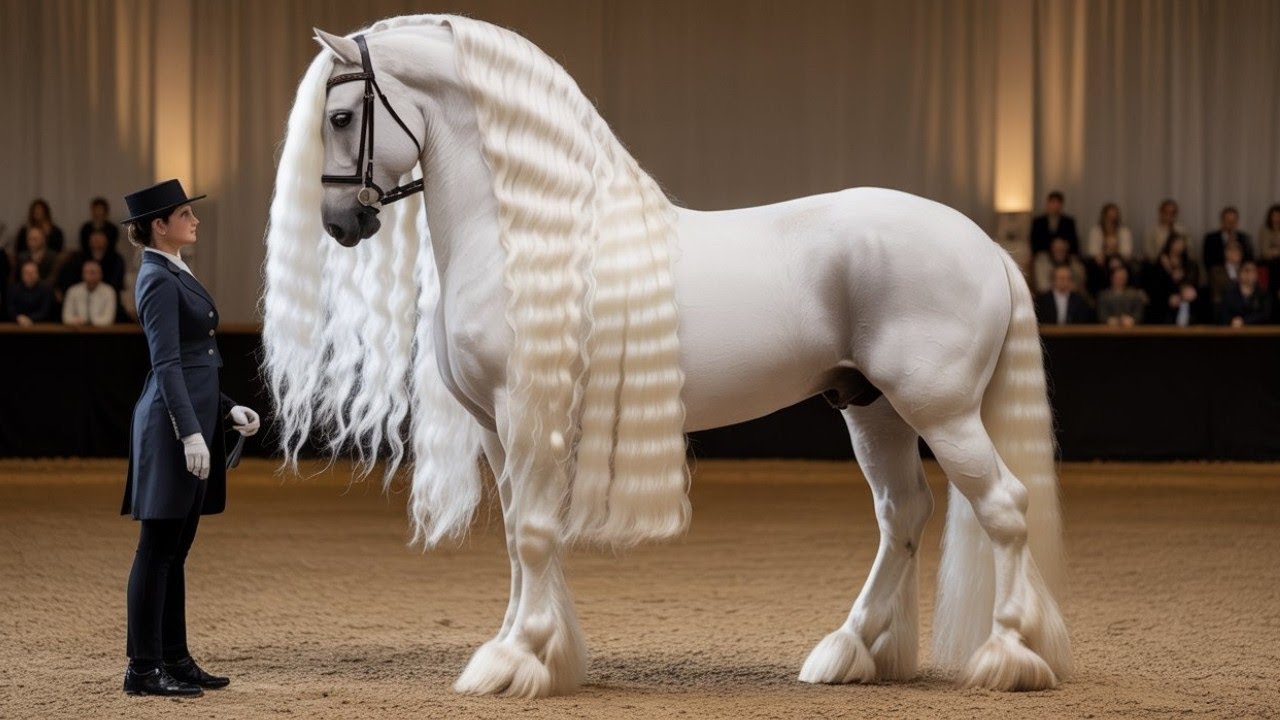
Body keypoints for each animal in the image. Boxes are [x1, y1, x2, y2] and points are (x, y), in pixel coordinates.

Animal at [262, 14, 1071, 699]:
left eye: (341, 116)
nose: (342, 222)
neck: (530, 238)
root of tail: (986, 247)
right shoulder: (498, 426)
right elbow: (523, 533)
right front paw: (535, 653)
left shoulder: (526, 412)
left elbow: (532, 533)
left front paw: (516, 656)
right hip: (872, 410)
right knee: (902, 513)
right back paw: (850, 650)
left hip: (940, 410)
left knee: (1003, 506)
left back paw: (1008, 655)